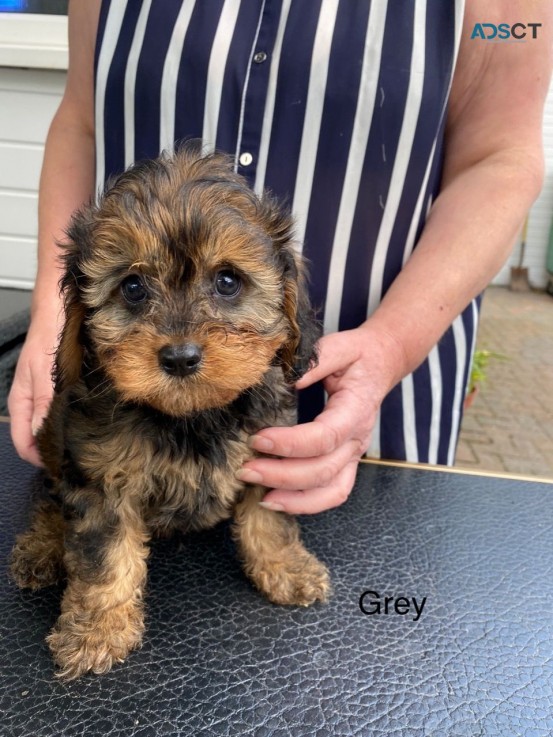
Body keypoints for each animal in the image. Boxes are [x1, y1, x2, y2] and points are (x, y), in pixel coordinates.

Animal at [9, 142, 328, 680]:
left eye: (227, 281)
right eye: (133, 287)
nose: (180, 357)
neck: (189, 417)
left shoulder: (268, 450)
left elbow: (269, 517)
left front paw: (286, 566)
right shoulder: (102, 479)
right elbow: (104, 555)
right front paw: (97, 629)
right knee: (51, 501)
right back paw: (41, 548)